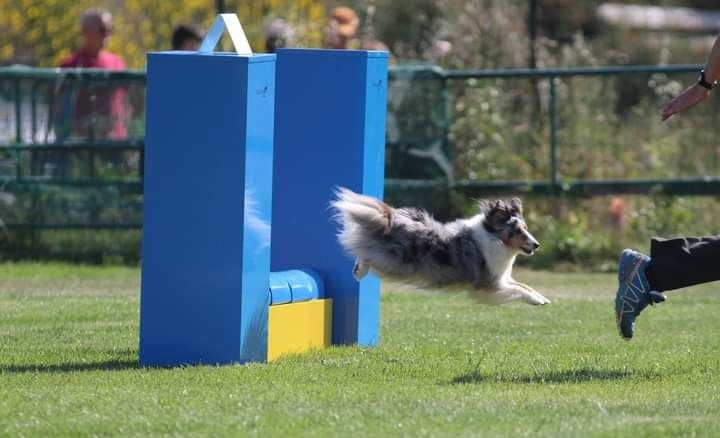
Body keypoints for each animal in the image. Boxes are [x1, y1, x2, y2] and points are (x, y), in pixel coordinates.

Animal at [332, 187, 552, 304]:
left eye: (526, 228)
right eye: (518, 232)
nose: (537, 245)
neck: (494, 237)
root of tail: (390, 218)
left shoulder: (502, 278)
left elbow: (523, 285)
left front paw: (543, 297)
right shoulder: (489, 284)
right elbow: (518, 290)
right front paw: (537, 301)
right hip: (397, 263)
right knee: (367, 253)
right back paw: (360, 270)